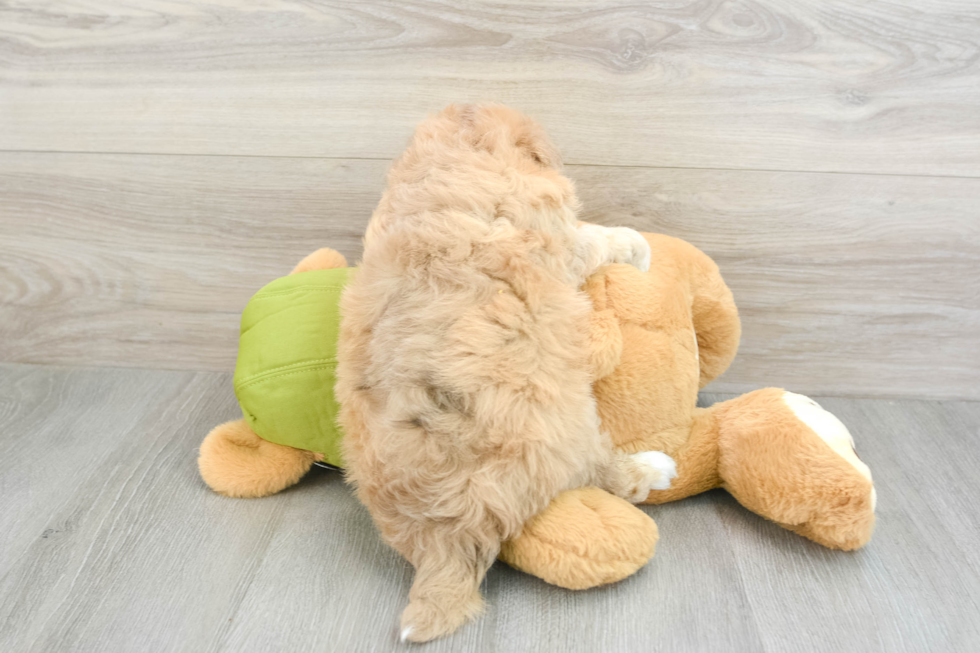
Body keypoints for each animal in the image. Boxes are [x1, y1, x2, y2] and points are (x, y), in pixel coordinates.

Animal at [336, 104, 675, 642]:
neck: (456, 156)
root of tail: (444, 536)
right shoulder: (559, 237)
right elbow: (595, 237)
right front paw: (635, 245)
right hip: (568, 427)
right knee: (603, 472)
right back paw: (653, 468)